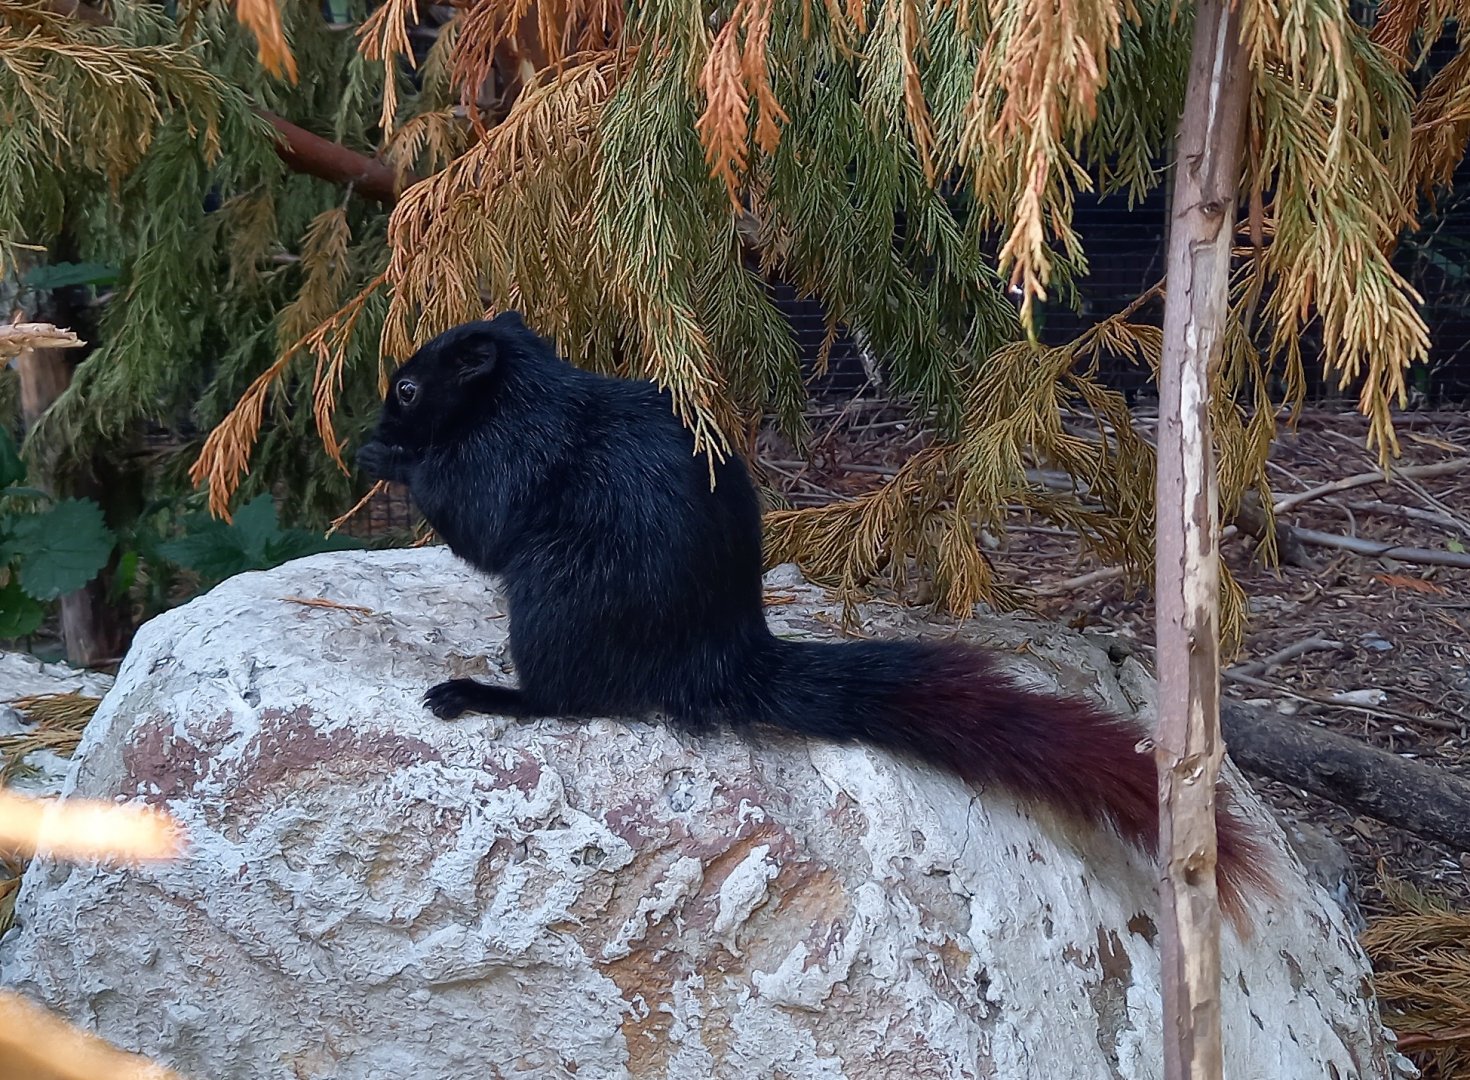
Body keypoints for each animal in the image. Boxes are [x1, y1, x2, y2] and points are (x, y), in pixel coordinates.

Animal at [358, 312, 1274, 922]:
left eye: (409, 386)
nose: (372, 421)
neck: (519, 400)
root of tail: (722, 660)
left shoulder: (511, 461)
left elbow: (473, 521)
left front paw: (389, 454)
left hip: (557, 601)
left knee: (569, 698)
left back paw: (486, 695)